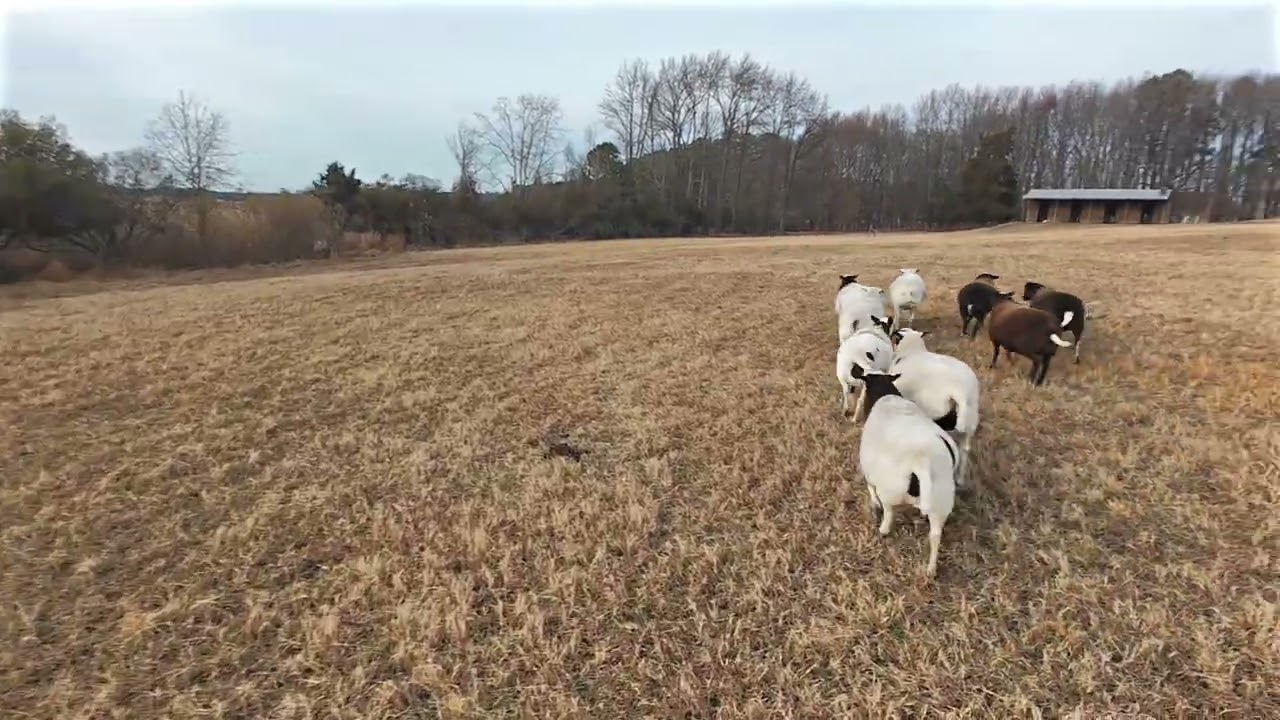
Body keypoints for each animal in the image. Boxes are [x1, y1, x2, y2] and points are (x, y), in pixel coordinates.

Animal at [849, 364, 960, 578]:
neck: (886, 396)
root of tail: (921, 461)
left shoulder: (869, 470)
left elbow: (871, 489)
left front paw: (874, 506)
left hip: (891, 492)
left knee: (889, 512)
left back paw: (883, 530)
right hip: (941, 502)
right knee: (935, 535)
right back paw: (931, 570)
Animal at [888, 328, 980, 485]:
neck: (912, 351)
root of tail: (959, 391)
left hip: (935, 416)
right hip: (970, 422)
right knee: (965, 449)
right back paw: (960, 479)